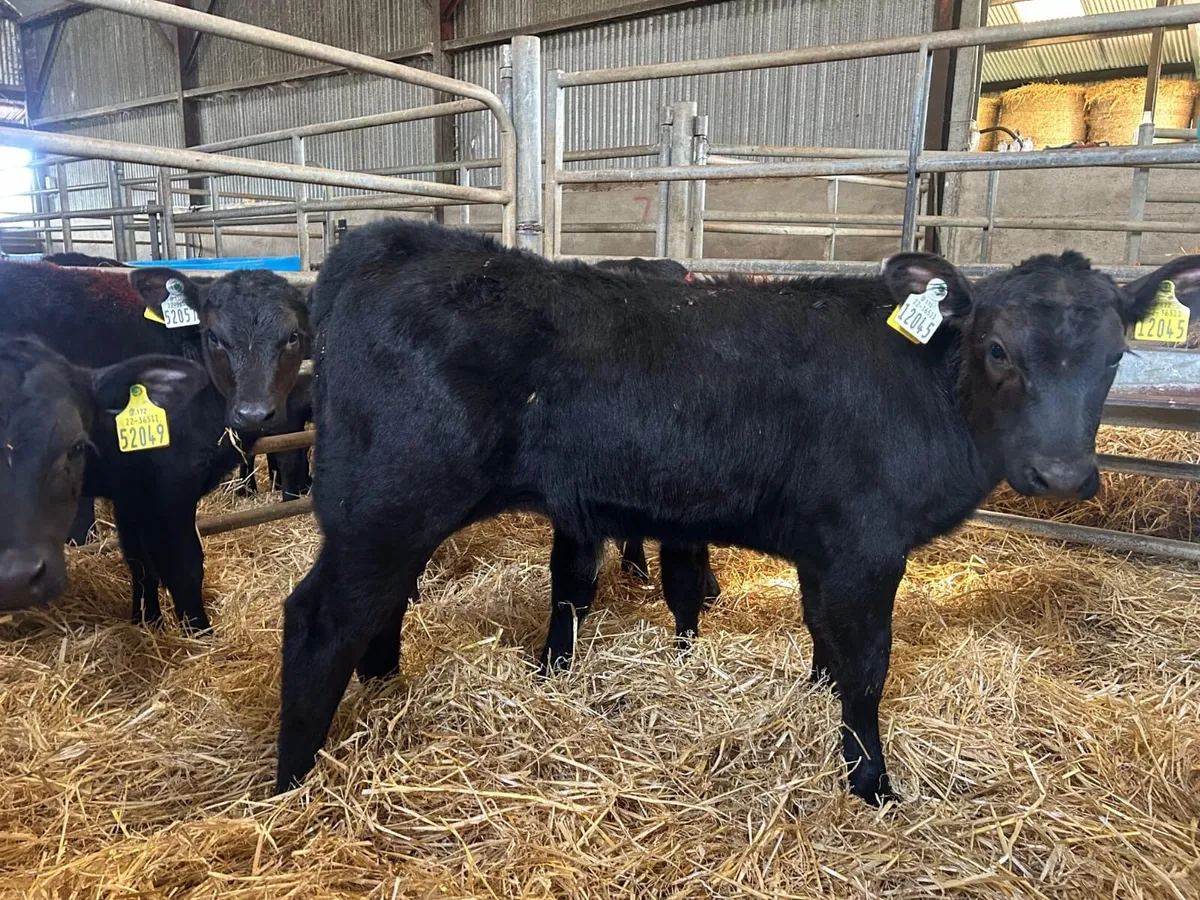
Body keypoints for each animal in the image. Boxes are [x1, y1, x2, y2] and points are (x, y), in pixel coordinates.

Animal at [276, 218, 1194, 804]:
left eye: (1116, 357)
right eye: (999, 349)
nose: (1062, 473)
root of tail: (389, 241)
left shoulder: (829, 549)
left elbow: (826, 642)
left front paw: (819, 710)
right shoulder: (868, 545)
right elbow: (868, 666)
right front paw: (873, 785)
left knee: (377, 609)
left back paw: (381, 692)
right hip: (387, 503)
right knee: (319, 619)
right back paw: (291, 783)